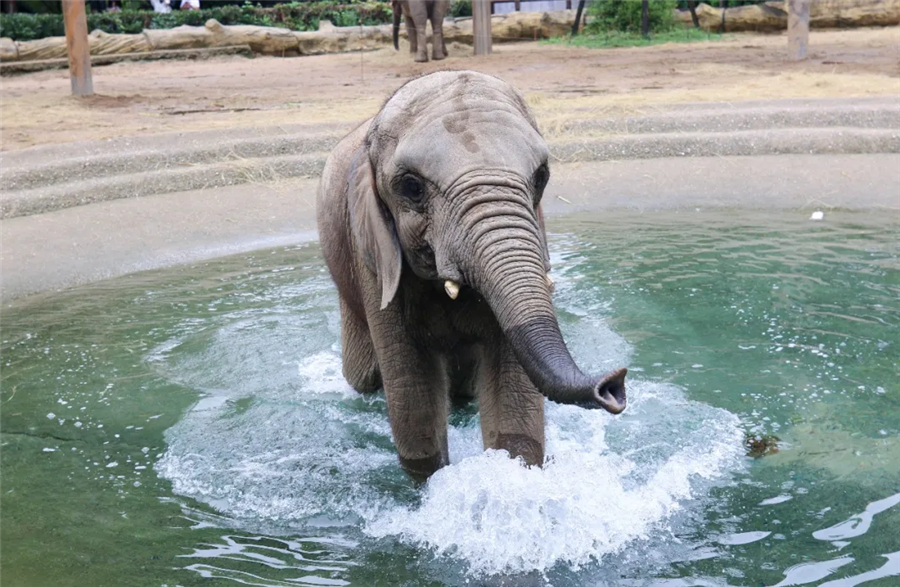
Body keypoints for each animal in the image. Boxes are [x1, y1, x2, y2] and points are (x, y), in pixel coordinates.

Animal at [316, 70, 624, 482]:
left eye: (541, 176)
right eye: (411, 187)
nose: (615, 385)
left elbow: (513, 402)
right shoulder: (375, 258)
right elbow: (414, 402)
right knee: (363, 378)